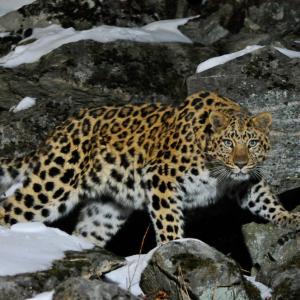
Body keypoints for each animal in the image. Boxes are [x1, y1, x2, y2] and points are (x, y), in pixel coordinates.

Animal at [0, 91, 300, 246]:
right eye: (228, 142)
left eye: (251, 143)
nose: (240, 162)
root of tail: (56, 132)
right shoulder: (161, 177)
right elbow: (169, 220)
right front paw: (174, 248)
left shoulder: (247, 182)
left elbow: (266, 200)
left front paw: (289, 218)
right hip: (52, 186)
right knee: (10, 208)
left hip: (106, 210)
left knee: (85, 232)